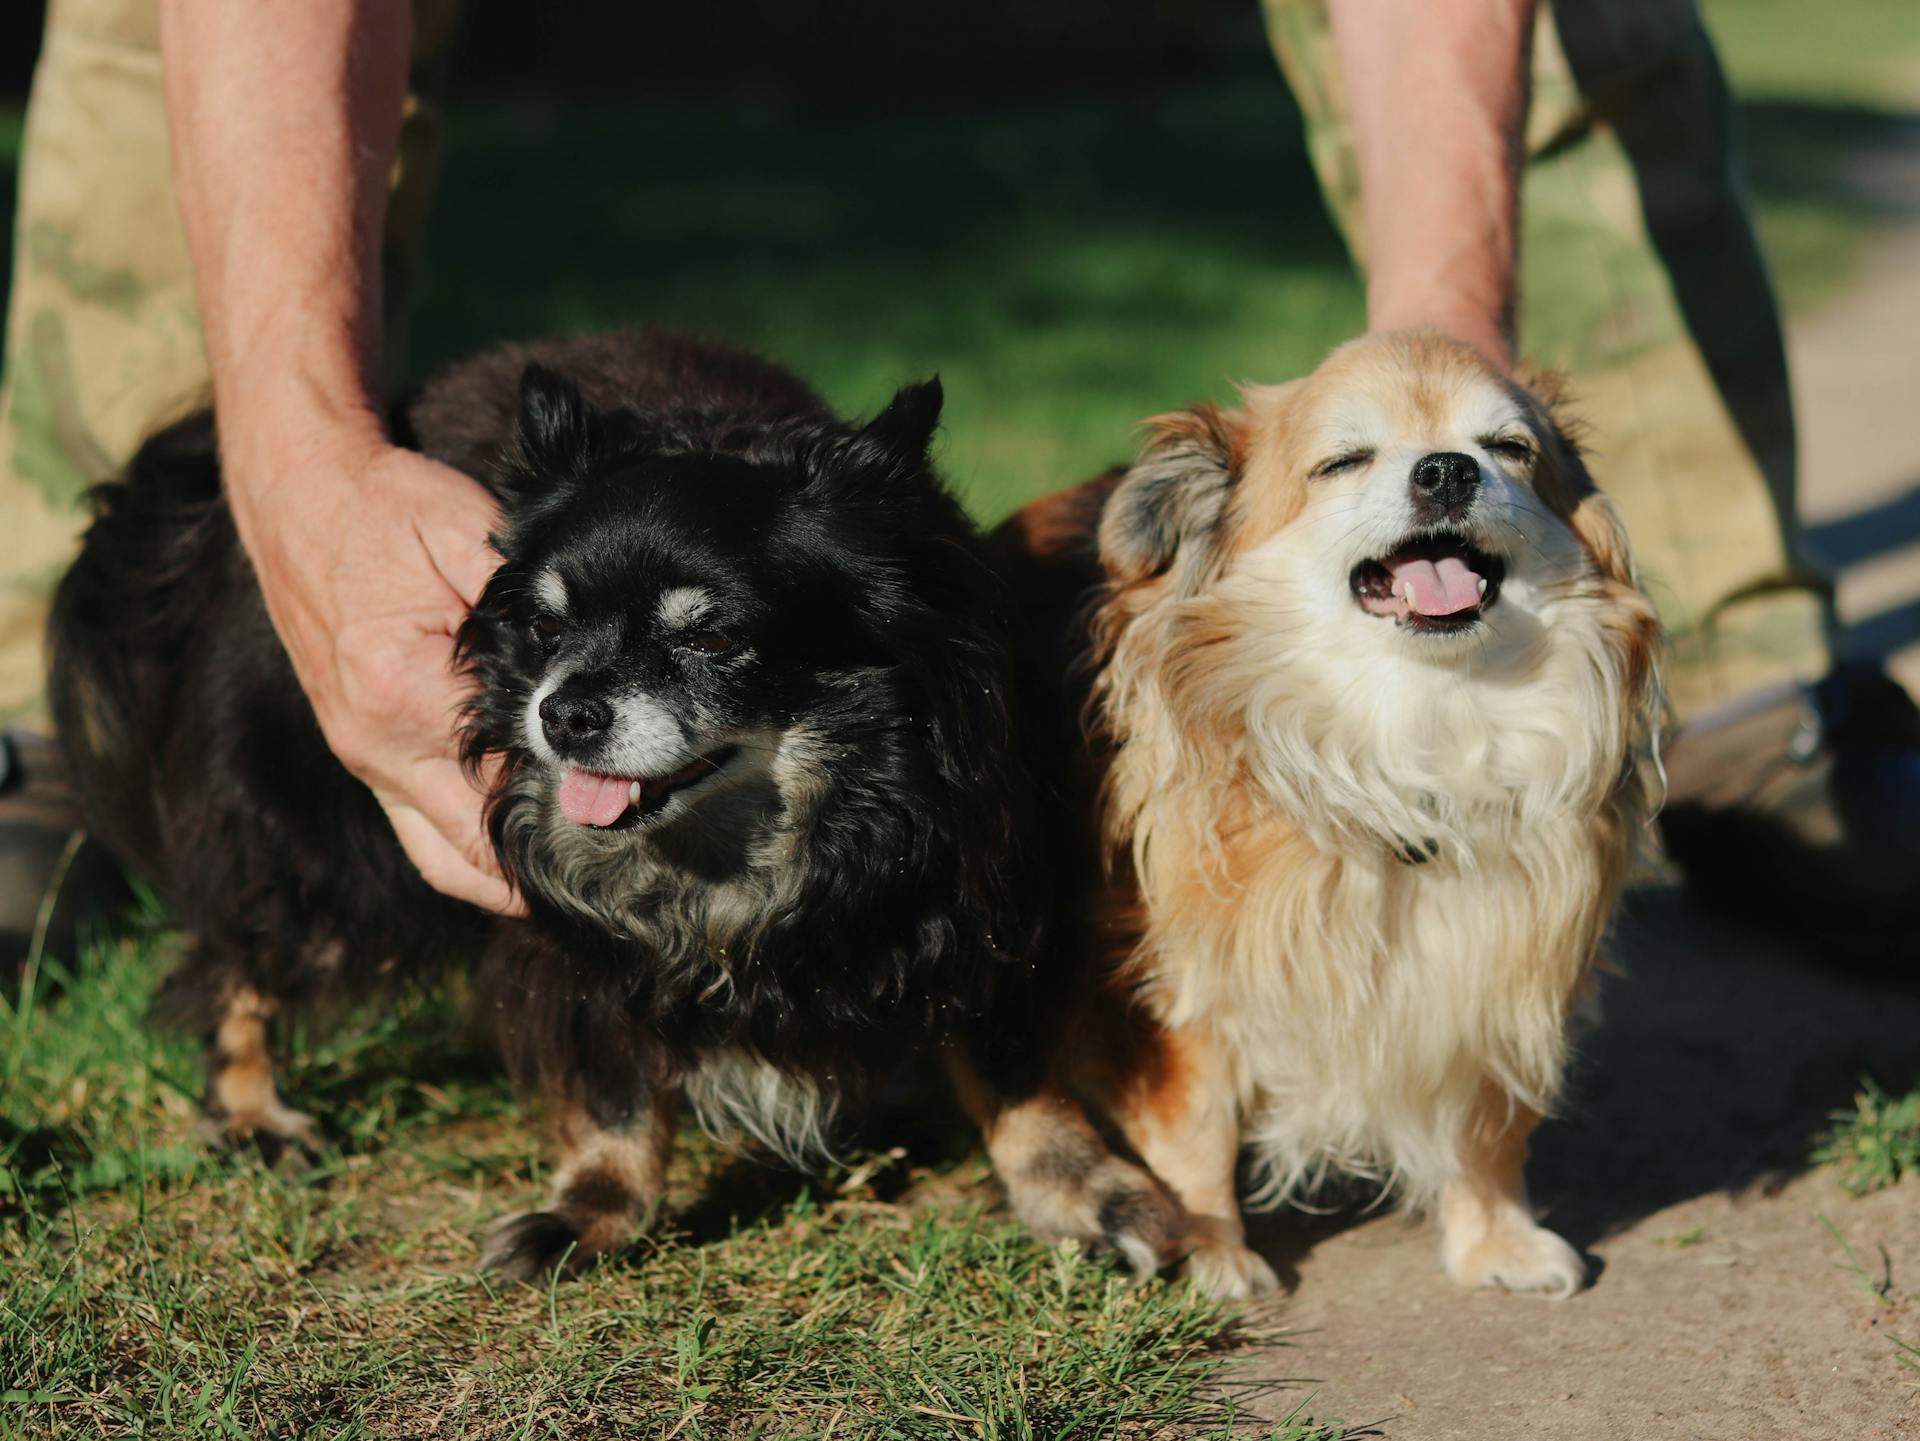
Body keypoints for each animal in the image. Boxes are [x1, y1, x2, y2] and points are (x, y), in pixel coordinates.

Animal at [48, 331, 1182, 1281]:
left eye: (710, 638)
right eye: (545, 628)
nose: (564, 711)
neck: (734, 850)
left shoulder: (971, 892)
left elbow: (1014, 1063)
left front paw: (1080, 1189)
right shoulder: (562, 934)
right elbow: (615, 1084)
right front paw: (594, 1212)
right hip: (310, 827)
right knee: (239, 951)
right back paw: (251, 1108)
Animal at [998, 331, 1658, 1304]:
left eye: (1510, 449)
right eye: (1342, 462)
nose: (1447, 469)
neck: (1415, 735)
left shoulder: (1497, 956)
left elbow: (1486, 1124)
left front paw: (1496, 1239)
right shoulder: (1179, 979)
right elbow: (1197, 1125)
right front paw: (1213, 1250)